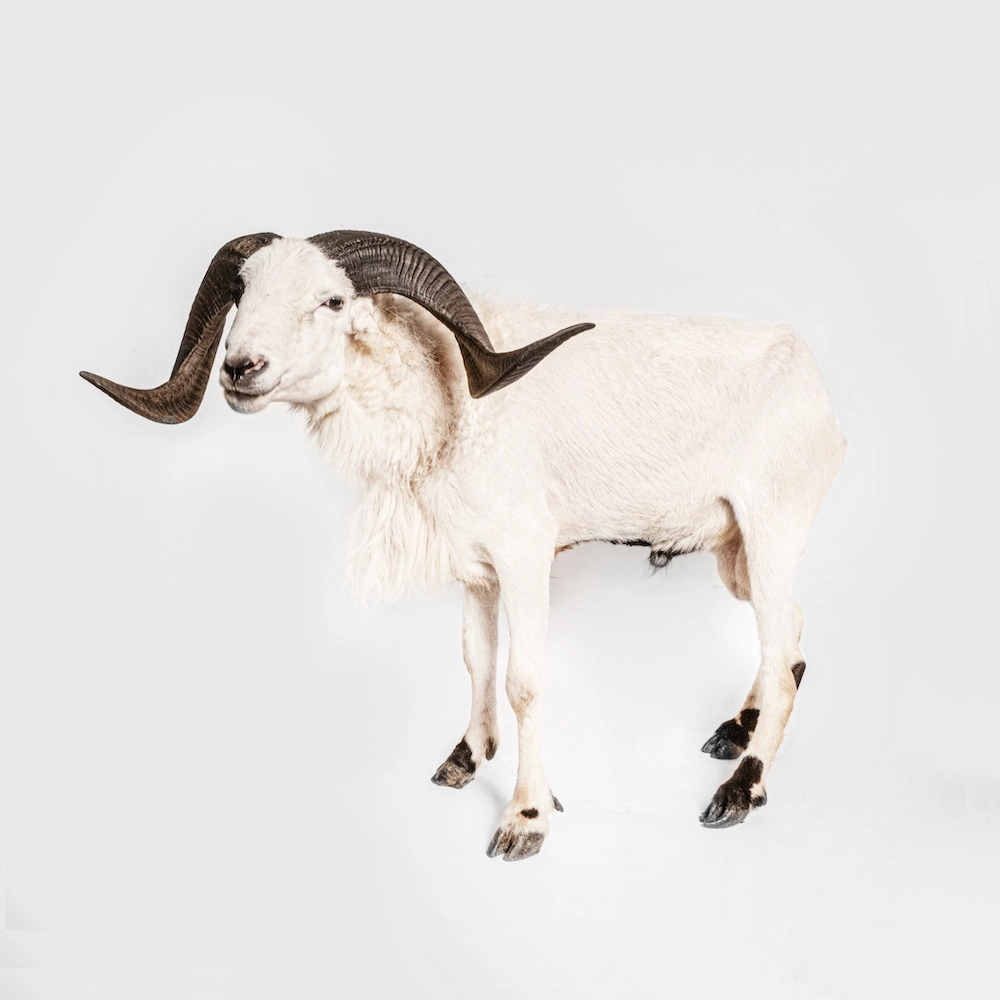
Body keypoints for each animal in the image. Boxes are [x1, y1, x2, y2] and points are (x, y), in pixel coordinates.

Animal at [81, 230, 846, 861]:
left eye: (332, 299)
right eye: (244, 292)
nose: (241, 368)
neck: (447, 401)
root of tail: (814, 384)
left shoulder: (527, 558)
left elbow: (523, 681)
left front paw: (526, 820)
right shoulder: (478, 570)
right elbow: (477, 660)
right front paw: (465, 759)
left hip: (770, 531)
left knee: (783, 657)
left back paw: (738, 793)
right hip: (736, 551)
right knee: (791, 639)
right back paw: (735, 733)